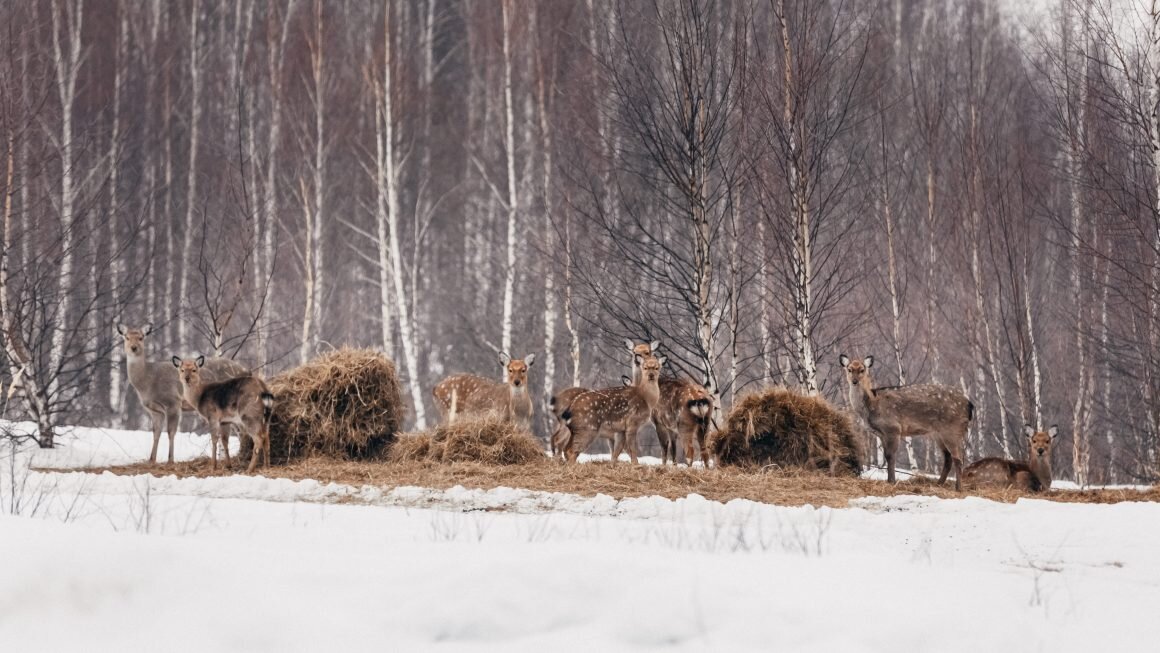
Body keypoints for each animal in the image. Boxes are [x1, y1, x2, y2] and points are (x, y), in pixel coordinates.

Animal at [839, 357, 974, 491]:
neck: (872, 405)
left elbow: (890, 456)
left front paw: (892, 481)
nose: (855, 381)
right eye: (849, 369)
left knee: (958, 458)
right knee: (948, 458)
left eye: (862, 369)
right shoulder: (881, 434)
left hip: (952, 428)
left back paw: (958, 488)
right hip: (938, 433)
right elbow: (887, 456)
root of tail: (969, 405)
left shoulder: (893, 428)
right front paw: (890, 480)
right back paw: (939, 484)